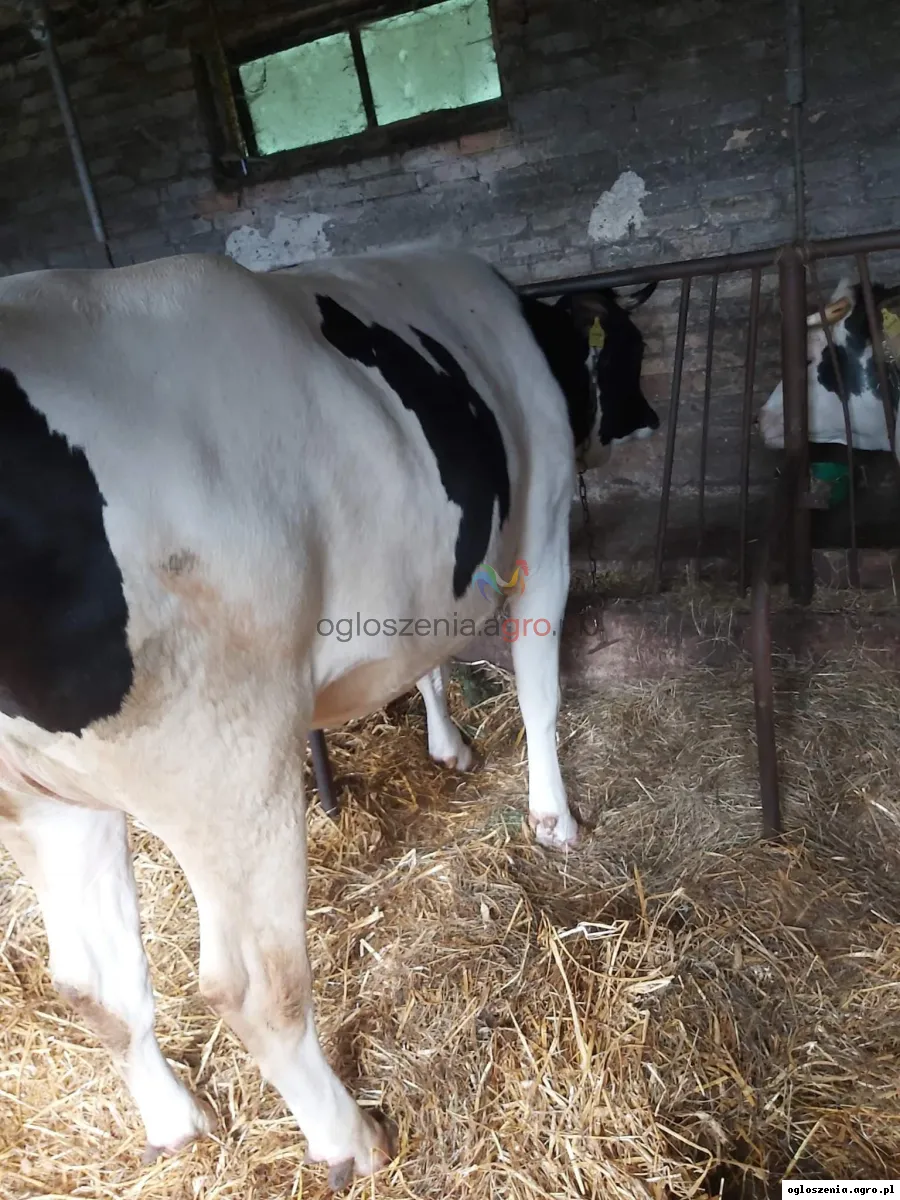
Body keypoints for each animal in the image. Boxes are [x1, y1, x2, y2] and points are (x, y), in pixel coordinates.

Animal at [0, 248, 658, 1185]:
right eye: (630, 349)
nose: (649, 417)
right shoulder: (541, 524)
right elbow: (537, 685)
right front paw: (554, 819)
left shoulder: (424, 579)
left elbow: (427, 665)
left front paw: (448, 746)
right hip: (222, 765)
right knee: (251, 987)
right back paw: (350, 1139)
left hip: (45, 796)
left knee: (94, 983)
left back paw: (175, 1123)